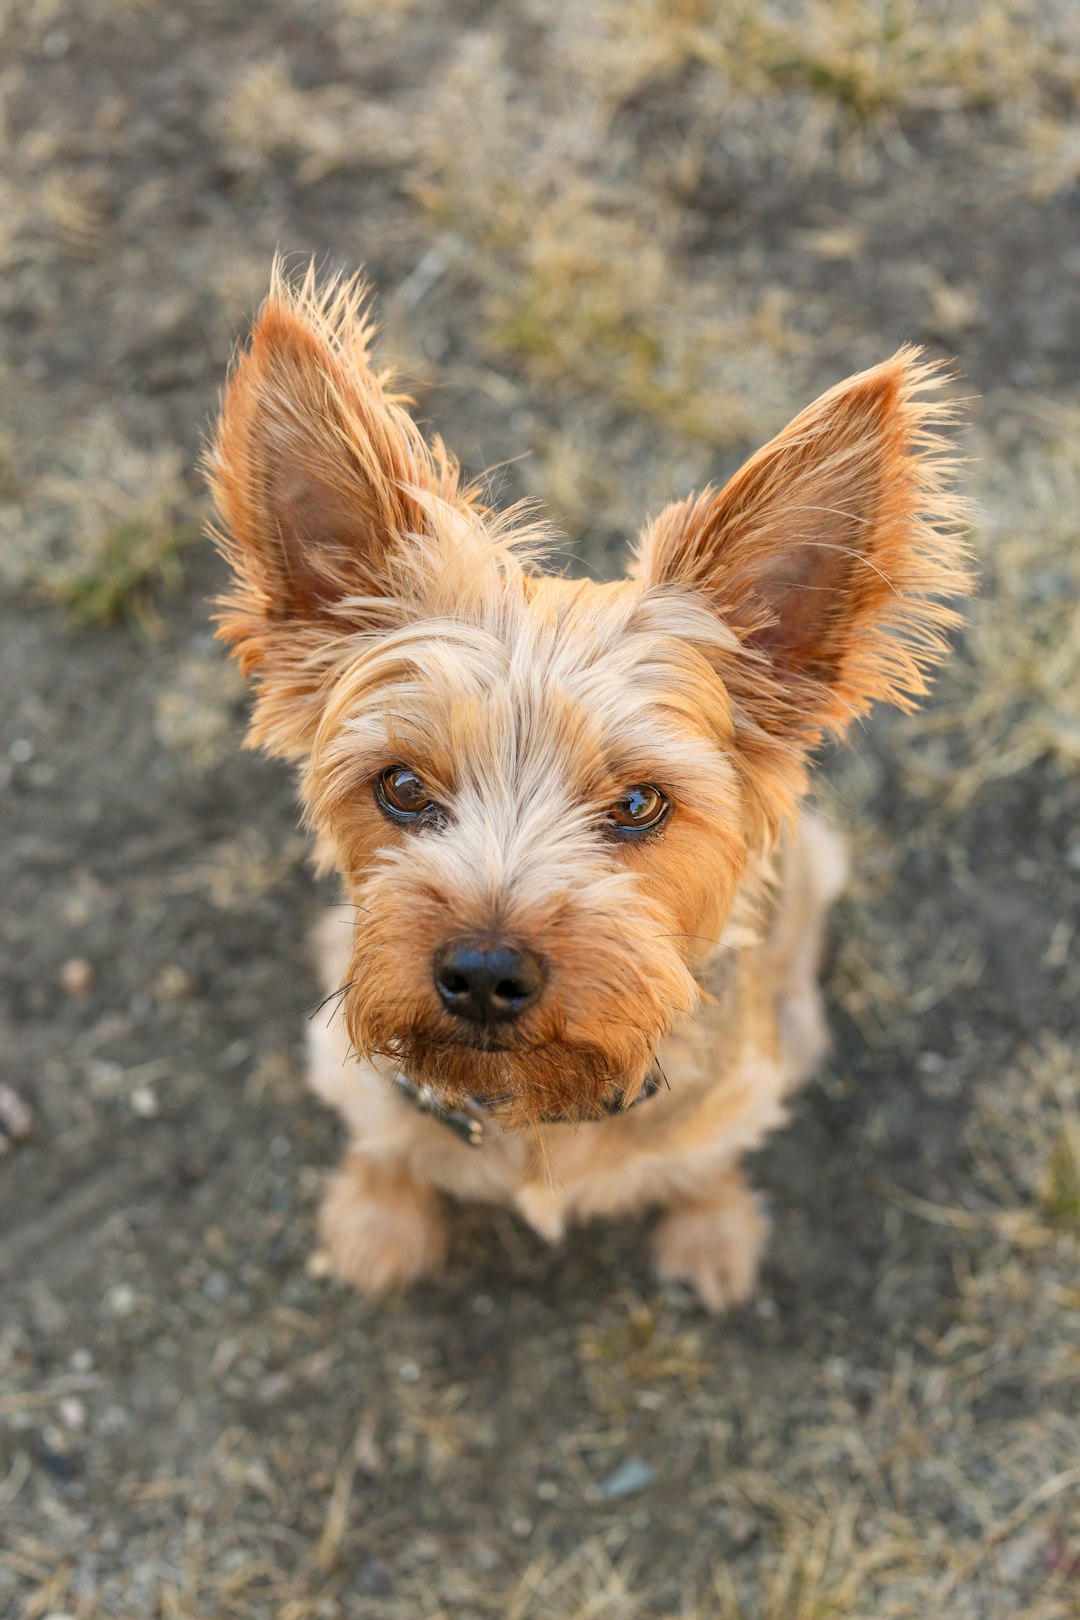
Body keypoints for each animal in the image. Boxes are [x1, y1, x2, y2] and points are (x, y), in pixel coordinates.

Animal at [204, 262, 971, 1302]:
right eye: (401, 787)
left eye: (640, 803)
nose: (486, 974)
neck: (532, 1107)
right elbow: (386, 1143)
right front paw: (377, 1222)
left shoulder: (732, 1097)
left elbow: (707, 1159)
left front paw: (710, 1231)